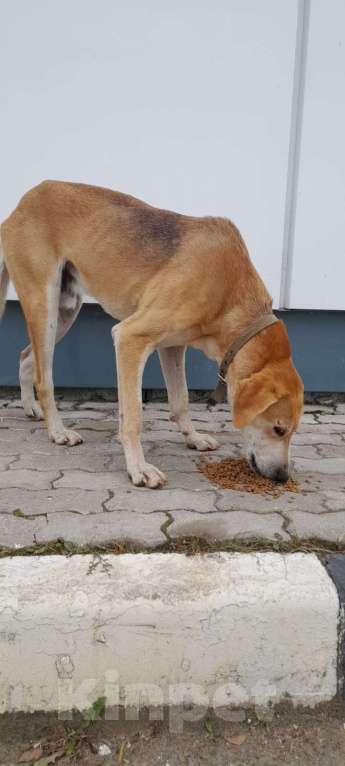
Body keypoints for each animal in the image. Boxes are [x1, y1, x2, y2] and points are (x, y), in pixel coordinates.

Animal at [0, 183, 300, 488]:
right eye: (279, 429)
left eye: (293, 431)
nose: (282, 477)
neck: (229, 291)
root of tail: (24, 202)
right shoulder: (130, 338)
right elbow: (133, 417)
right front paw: (138, 468)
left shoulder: (173, 346)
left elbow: (180, 400)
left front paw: (193, 438)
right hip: (44, 305)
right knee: (43, 377)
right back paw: (58, 431)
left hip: (64, 311)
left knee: (27, 357)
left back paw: (31, 408)